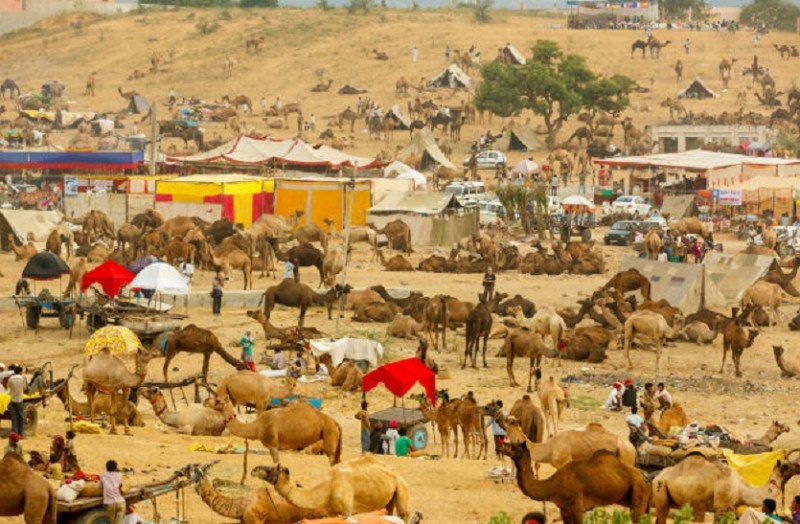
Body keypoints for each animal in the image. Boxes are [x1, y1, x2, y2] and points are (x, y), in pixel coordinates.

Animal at [252, 455, 409, 520]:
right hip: (389, 497)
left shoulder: (347, 511)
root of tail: (394, 473)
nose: (253, 470)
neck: (326, 488)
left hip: (401, 485)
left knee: (404, 514)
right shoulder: (332, 513)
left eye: (269, 470)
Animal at [500, 442, 650, 524]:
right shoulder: (564, 509)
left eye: (514, 446)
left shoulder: (577, 508)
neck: (552, 485)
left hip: (639, 494)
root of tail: (644, 477)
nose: (500, 446)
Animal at [652, 454, 800, 524]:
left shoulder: (730, 509)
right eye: (786, 465)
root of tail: (657, 476)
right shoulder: (722, 508)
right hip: (660, 491)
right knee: (662, 514)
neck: (741, 489)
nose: (798, 465)